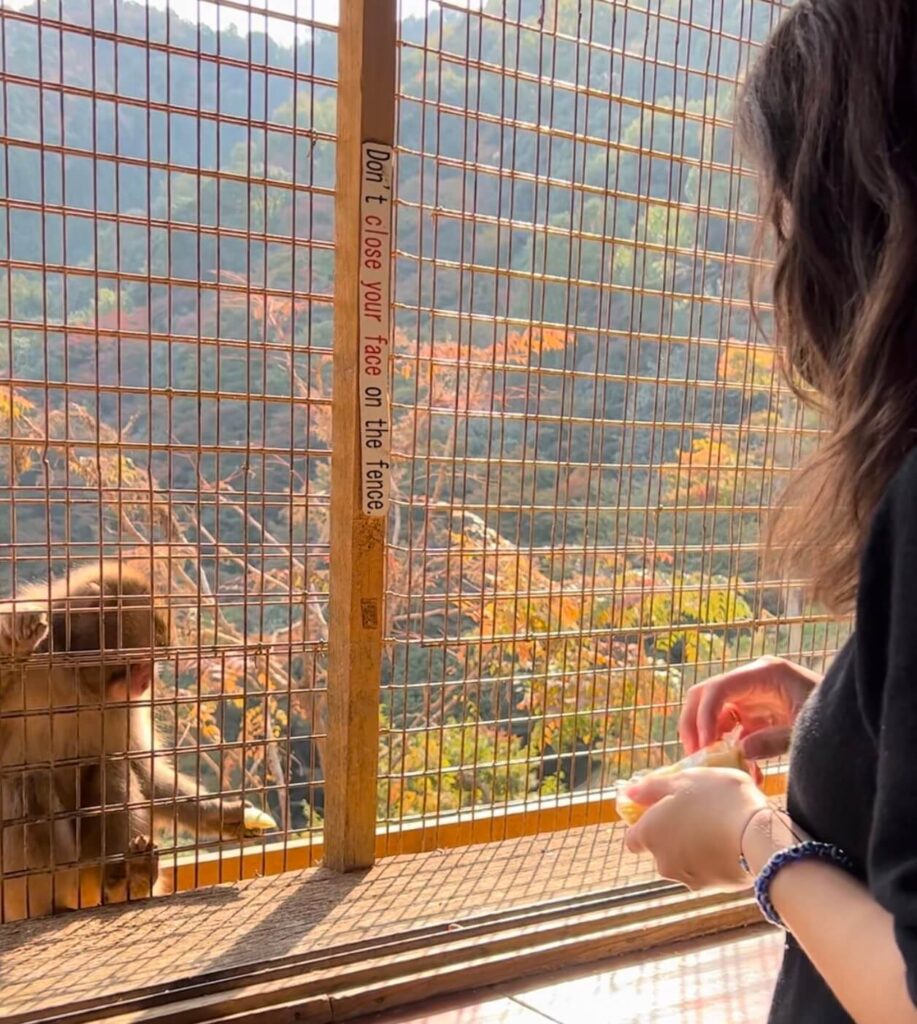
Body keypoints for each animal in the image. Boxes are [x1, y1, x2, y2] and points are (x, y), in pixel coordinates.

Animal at [0, 561, 276, 921]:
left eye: (156, 658)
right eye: (142, 657)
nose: (149, 679)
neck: (74, 676)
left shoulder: (127, 704)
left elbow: (141, 768)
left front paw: (222, 815)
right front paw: (14, 639)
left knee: (112, 766)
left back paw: (127, 882)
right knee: (27, 782)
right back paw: (51, 906)